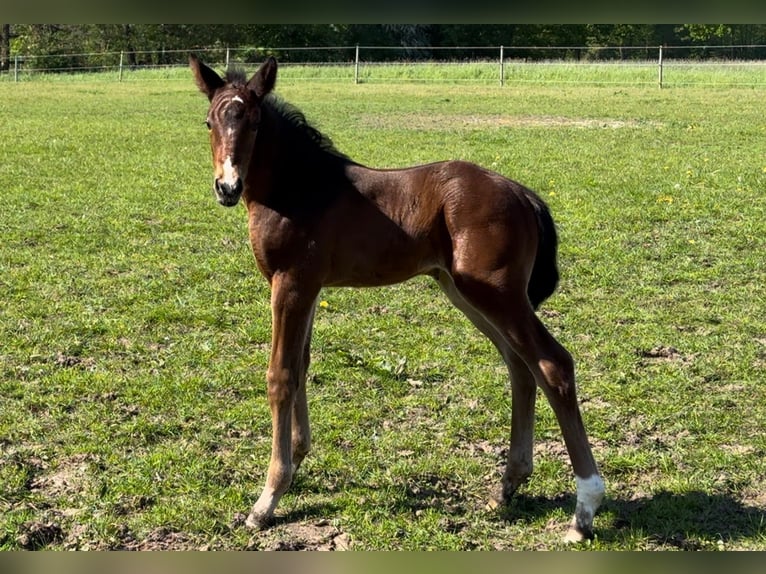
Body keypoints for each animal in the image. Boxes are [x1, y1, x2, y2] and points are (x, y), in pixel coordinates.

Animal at [188, 55, 608, 544]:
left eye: (254, 122)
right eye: (209, 121)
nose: (227, 187)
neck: (298, 188)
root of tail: (523, 193)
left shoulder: (290, 283)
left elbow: (281, 375)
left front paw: (268, 497)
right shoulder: (308, 287)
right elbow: (303, 365)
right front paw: (298, 458)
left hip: (497, 293)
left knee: (552, 364)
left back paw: (583, 511)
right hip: (466, 291)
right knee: (519, 366)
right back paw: (507, 486)